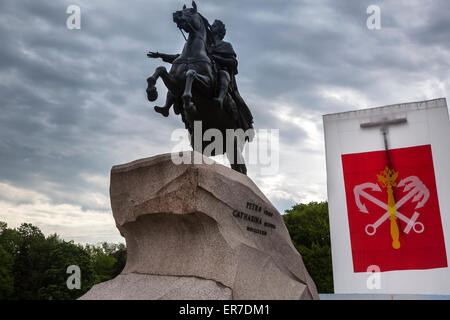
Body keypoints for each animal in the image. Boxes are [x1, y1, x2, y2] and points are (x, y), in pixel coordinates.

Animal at [146, 1, 248, 174]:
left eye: (191, 11)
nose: (176, 14)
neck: (191, 54)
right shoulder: (175, 83)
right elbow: (160, 69)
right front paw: (151, 92)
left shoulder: (207, 85)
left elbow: (191, 74)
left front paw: (189, 103)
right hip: (199, 138)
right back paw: (163, 109)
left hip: (233, 140)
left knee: (240, 167)